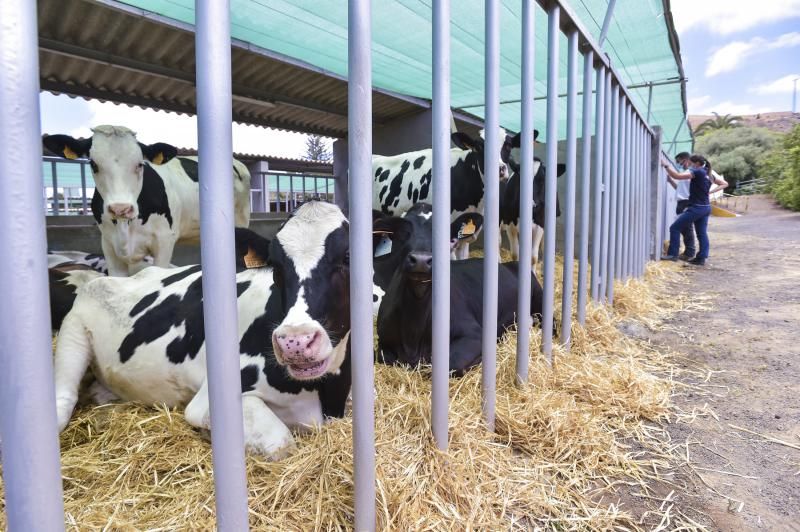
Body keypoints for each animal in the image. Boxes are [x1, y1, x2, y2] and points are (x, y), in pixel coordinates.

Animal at [50, 202, 350, 460]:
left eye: (346, 257)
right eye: (276, 266)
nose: (295, 341)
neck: (323, 393)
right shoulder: (209, 403)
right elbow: (282, 444)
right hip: (74, 330)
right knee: (63, 400)